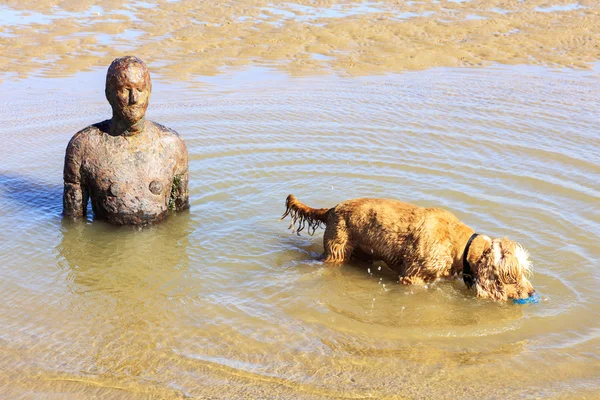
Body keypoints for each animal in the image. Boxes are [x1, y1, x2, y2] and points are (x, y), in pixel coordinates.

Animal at [282, 195, 536, 302]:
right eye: (512, 276)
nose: (532, 293)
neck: (459, 245)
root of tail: (332, 209)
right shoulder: (412, 277)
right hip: (337, 250)